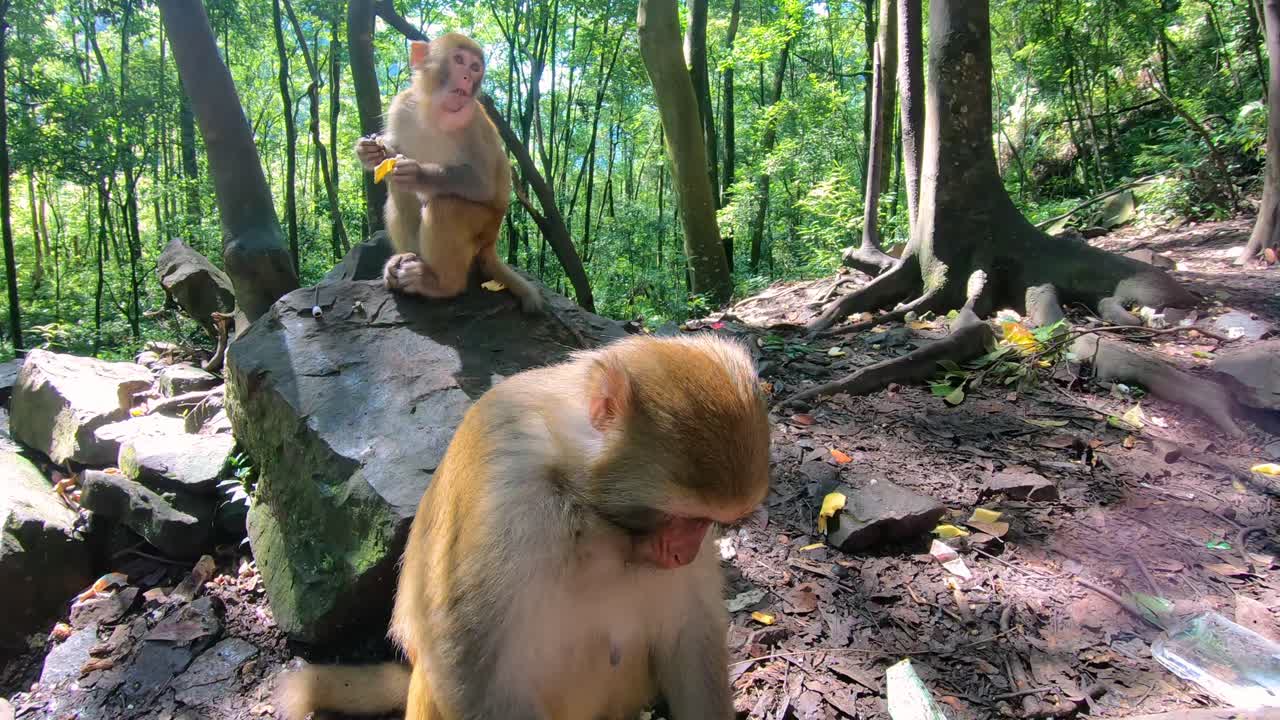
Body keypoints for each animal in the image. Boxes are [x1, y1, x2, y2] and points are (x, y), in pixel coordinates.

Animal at [278, 333, 773, 720]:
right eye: (687, 517)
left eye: (708, 523)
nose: (684, 552)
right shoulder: (505, 495)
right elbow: (466, 664)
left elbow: (690, 632)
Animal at [356, 33, 542, 313]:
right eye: (459, 60)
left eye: (475, 67)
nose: (466, 77)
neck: (436, 111)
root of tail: (492, 241)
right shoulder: (401, 106)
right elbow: (392, 155)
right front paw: (371, 152)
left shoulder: (475, 123)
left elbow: (482, 183)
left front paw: (417, 173)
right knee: (399, 189)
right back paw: (406, 259)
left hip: (483, 227)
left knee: (444, 206)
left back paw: (440, 284)